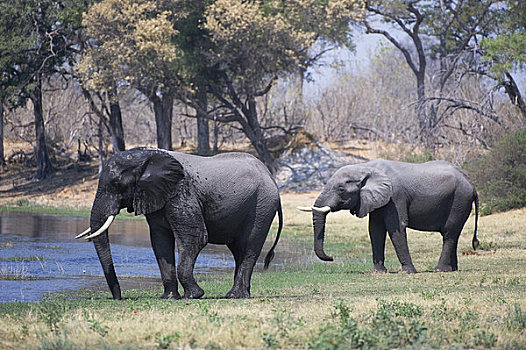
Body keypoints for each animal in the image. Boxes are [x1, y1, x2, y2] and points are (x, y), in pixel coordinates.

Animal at [300, 159, 480, 274]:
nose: (331, 258)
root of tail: (472, 184)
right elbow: (375, 230)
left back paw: (439, 270)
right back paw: (452, 270)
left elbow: (396, 227)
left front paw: (407, 272)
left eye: (341, 189)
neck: (365, 168)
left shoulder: (395, 197)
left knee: (449, 233)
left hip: (459, 200)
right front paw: (378, 272)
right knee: (452, 235)